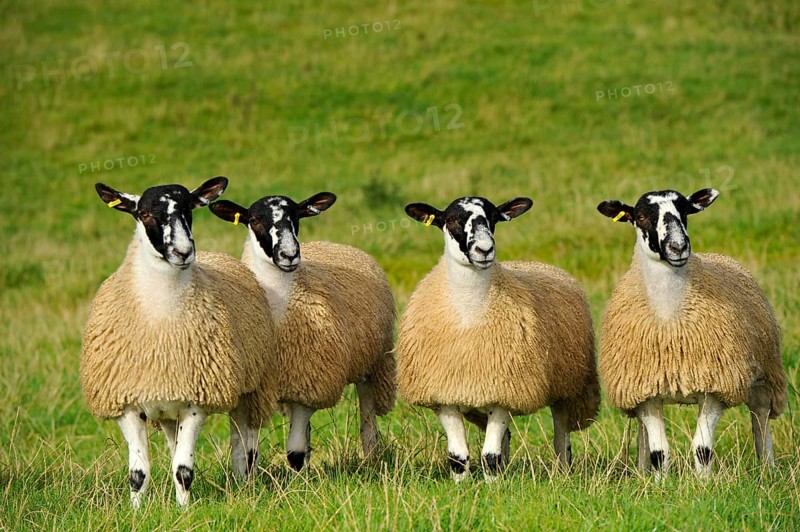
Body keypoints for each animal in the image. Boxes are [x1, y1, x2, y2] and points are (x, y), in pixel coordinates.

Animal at [80, 177, 278, 508]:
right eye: (144, 214)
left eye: (190, 210)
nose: (183, 252)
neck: (162, 330)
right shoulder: (128, 404)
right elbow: (139, 473)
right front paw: (137, 511)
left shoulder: (195, 402)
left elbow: (184, 469)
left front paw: (183, 510)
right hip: (167, 409)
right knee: (176, 447)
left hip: (249, 390)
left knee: (244, 444)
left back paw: (245, 484)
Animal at [209, 192, 396, 471]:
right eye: (254, 220)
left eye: (297, 216)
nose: (289, 255)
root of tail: (335, 244)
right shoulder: (259, 391)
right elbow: (249, 451)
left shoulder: (311, 383)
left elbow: (294, 452)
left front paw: (300, 477)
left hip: (373, 364)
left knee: (368, 420)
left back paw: (371, 459)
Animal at [395, 196, 600, 482]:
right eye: (451, 219)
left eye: (493, 218)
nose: (485, 250)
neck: (469, 316)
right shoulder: (445, 395)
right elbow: (458, 457)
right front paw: (461, 485)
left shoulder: (505, 391)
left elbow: (489, 457)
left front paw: (493, 487)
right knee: (507, 438)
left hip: (567, 386)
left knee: (562, 435)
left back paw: (562, 473)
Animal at [597, 188, 787, 478]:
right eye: (641, 217)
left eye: (685, 211)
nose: (679, 247)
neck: (670, 320)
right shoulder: (646, 391)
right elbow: (659, 452)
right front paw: (659, 483)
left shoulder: (715, 388)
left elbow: (702, 448)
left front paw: (704, 484)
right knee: (642, 433)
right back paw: (641, 472)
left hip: (765, 373)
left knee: (760, 417)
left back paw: (767, 469)